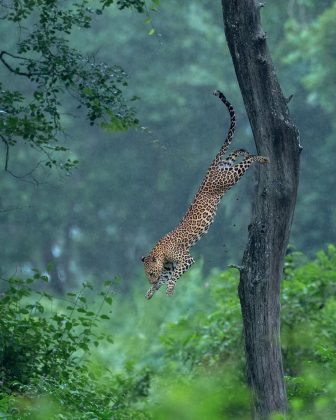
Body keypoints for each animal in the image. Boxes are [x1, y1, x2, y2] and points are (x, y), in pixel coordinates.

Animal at [140, 90, 270, 298]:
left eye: (151, 272)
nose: (150, 280)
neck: (160, 252)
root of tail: (210, 172)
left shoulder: (186, 260)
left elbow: (174, 275)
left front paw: (168, 290)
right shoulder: (170, 266)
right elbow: (166, 276)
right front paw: (151, 291)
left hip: (230, 177)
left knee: (247, 160)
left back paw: (263, 158)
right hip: (226, 168)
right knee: (235, 152)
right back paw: (245, 151)